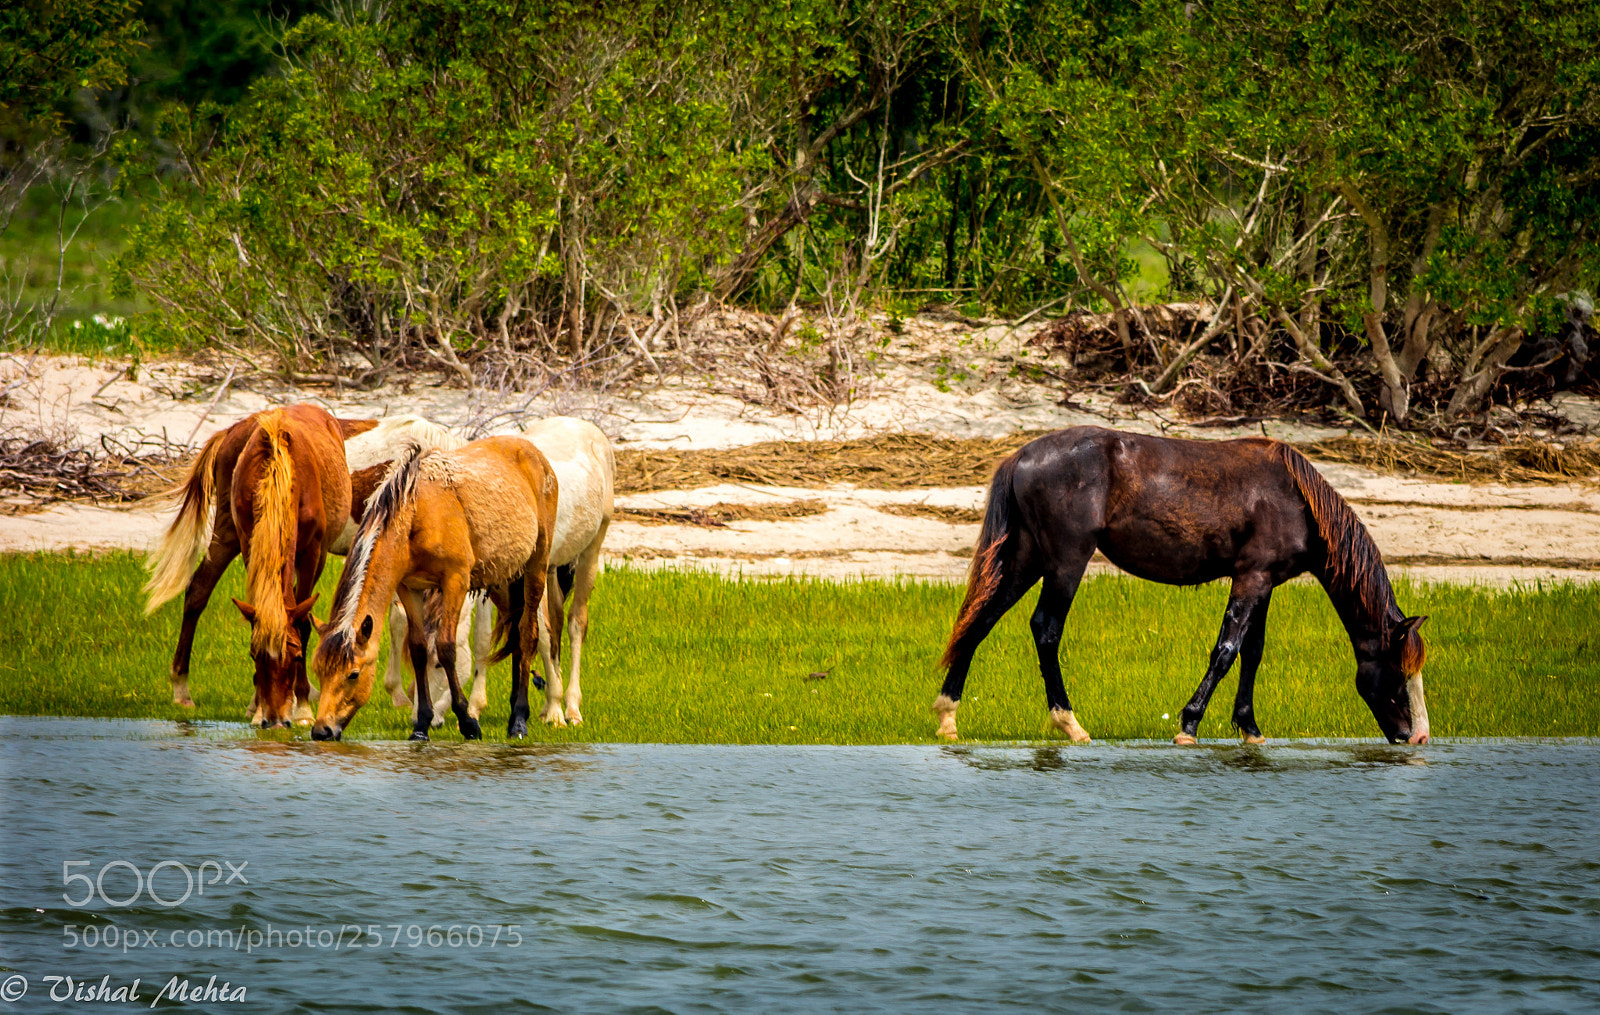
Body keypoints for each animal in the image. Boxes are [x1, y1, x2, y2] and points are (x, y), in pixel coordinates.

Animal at [143, 404, 354, 727]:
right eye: (255, 655)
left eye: (295, 656)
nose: (276, 719)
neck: (281, 474)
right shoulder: (248, 541)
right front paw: (257, 707)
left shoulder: (313, 553)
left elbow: (303, 621)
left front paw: (302, 704)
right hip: (226, 532)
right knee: (197, 591)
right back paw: (182, 688)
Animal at [310, 436, 560, 741]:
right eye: (318, 670)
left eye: (353, 674)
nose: (322, 730)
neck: (414, 513)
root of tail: (534, 452)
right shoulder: (408, 587)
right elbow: (418, 649)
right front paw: (421, 724)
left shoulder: (455, 581)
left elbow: (445, 648)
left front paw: (467, 721)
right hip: (502, 580)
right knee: (515, 635)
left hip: (536, 566)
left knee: (527, 634)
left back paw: (519, 720)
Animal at [385, 416, 614, 727]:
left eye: (438, 664)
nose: (426, 720)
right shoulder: (492, 581)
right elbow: (486, 639)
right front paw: (476, 707)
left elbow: (540, 635)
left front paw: (554, 710)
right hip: (551, 570)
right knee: (555, 623)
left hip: (590, 550)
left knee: (576, 623)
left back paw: (570, 707)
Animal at [935, 426, 1430, 746]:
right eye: (1398, 671)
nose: (1417, 737)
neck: (1296, 500)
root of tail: (1021, 456)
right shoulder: (1251, 577)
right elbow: (1226, 651)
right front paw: (1189, 725)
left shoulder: (1265, 582)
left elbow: (1252, 652)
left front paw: (1250, 728)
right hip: (1064, 561)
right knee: (1045, 629)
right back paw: (1069, 723)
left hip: (1026, 558)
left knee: (981, 620)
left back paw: (948, 716)